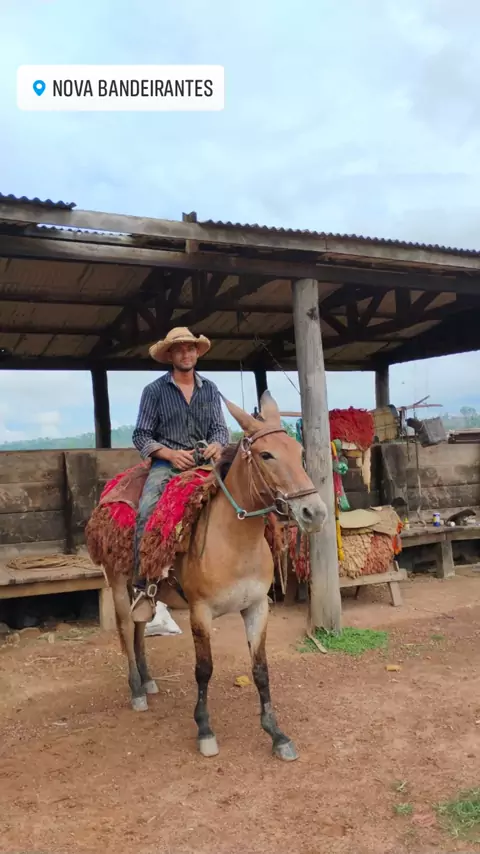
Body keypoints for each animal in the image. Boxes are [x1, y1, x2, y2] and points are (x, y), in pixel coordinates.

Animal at [85, 391, 327, 761]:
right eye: (266, 454)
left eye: (299, 452)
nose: (314, 513)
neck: (234, 540)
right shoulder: (200, 612)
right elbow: (204, 669)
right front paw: (205, 730)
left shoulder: (257, 607)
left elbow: (260, 669)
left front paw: (276, 734)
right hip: (117, 583)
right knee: (127, 629)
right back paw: (136, 690)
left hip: (143, 594)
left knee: (140, 629)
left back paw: (148, 680)